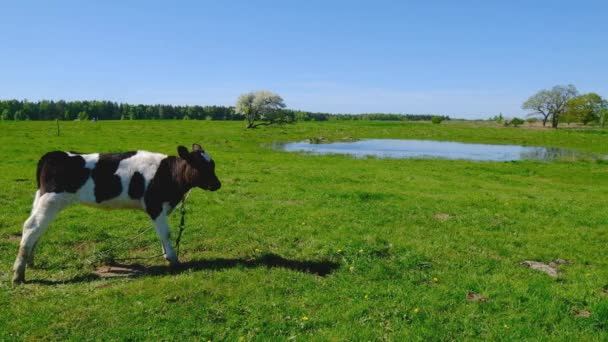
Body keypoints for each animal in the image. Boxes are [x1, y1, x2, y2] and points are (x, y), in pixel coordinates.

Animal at [11, 144, 220, 284]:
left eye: (213, 164)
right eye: (201, 165)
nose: (218, 184)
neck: (169, 174)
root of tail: (54, 154)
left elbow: (162, 235)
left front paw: (166, 256)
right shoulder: (155, 206)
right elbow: (166, 233)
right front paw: (173, 260)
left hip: (42, 199)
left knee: (37, 230)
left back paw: (30, 262)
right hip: (51, 200)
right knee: (31, 227)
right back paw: (18, 273)